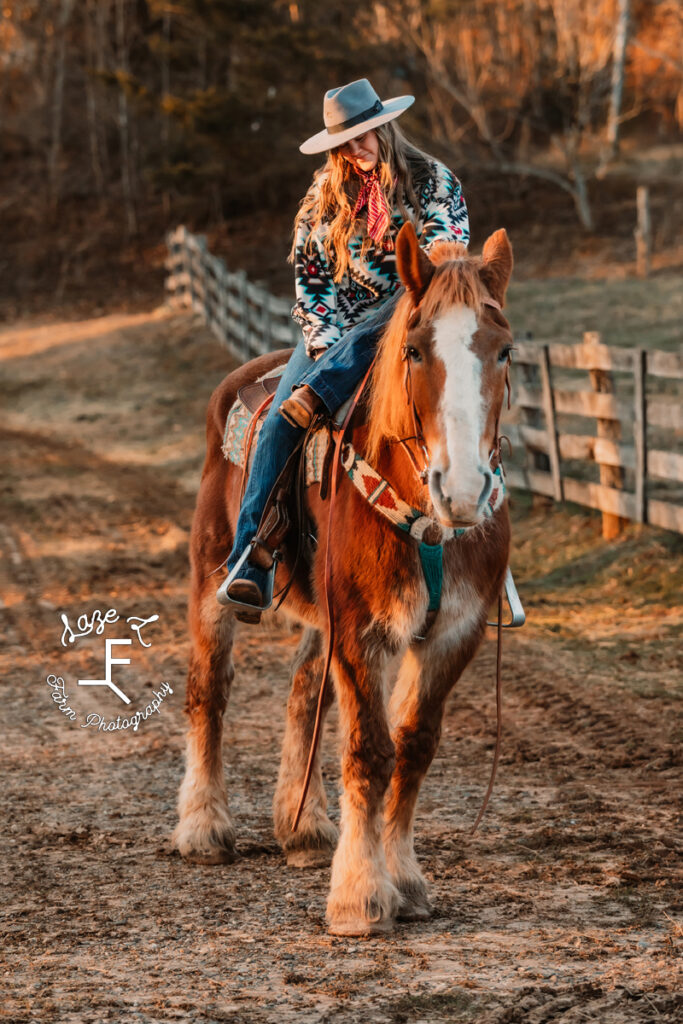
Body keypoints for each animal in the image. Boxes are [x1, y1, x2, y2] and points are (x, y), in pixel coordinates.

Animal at [174, 224, 516, 937]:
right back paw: (204, 828)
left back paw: (303, 827)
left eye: (504, 352)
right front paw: (359, 895)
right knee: (208, 691)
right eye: (413, 349)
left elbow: (413, 747)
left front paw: (404, 880)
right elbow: (369, 751)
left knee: (304, 693)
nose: (463, 489)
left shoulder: (453, 635)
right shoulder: (361, 631)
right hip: (211, 578)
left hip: (320, 619)